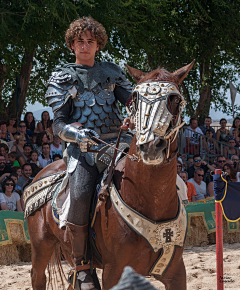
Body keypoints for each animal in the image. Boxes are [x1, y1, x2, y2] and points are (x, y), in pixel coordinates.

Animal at [27, 61, 194, 290]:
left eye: (175, 99)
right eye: (136, 99)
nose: (151, 147)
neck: (151, 199)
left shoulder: (176, 272)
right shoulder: (113, 273)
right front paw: (84, 134)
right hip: (40, 247)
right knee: (39, 276)